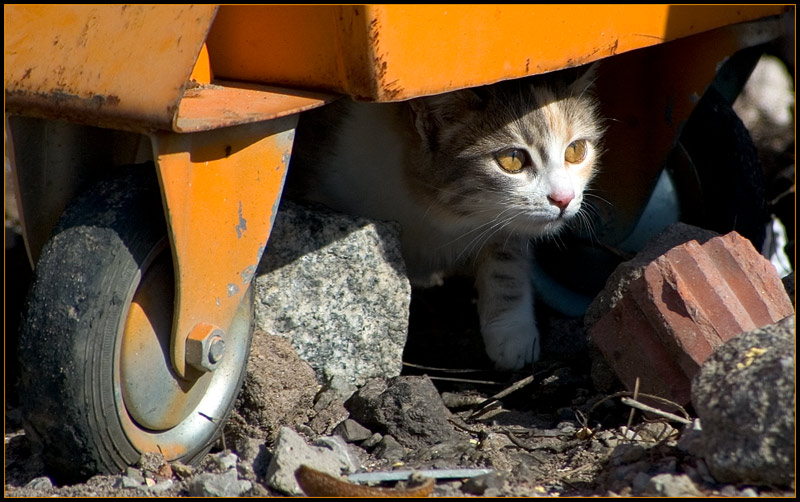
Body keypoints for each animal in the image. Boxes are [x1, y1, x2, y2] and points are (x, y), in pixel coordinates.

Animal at [284, 64, 604, 368]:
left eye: (576, 150)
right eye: (512, 160)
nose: (563, 198)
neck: (435, 213)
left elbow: (505, 260)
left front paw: (511, 331)